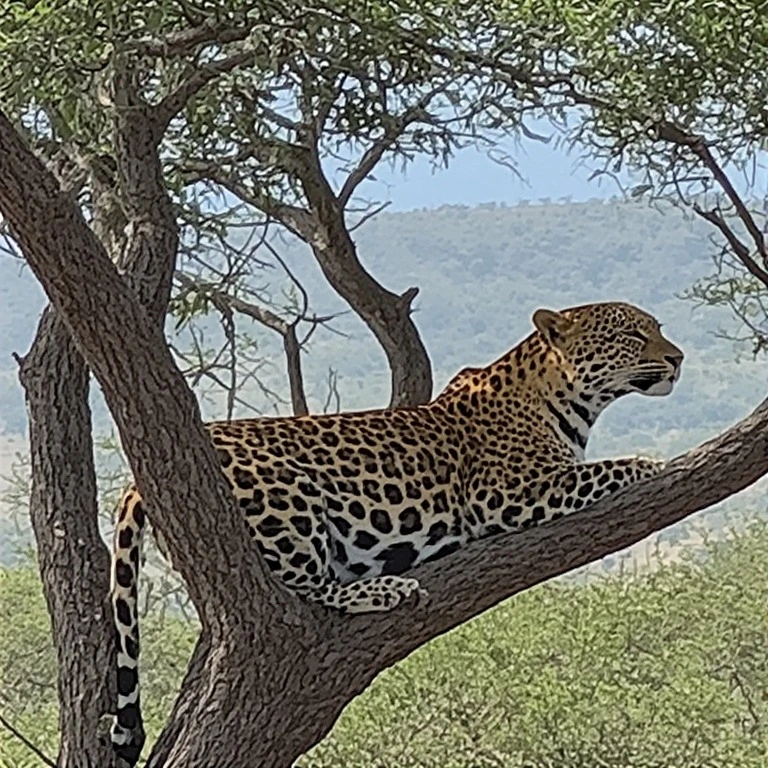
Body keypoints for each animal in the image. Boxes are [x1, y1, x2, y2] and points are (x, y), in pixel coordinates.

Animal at [109, 300, 683, 764]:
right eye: (633, 335)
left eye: (657, 328)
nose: (677, 358)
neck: (568, 403)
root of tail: (137, 481)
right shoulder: (505, 494)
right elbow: (600, 470)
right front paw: (650, 464)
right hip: (290, 492)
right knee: (310, 588)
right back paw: (385, 588)